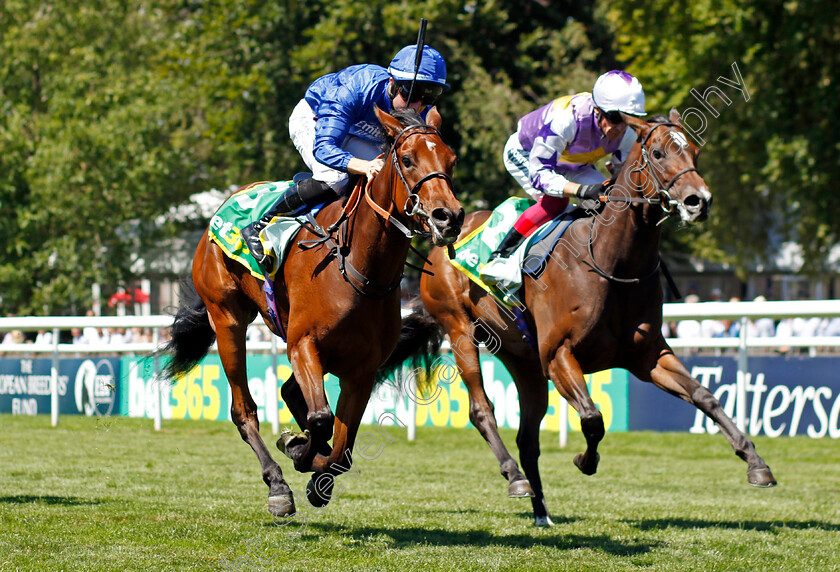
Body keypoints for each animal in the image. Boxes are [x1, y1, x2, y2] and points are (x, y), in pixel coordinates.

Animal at [158, 107, 460, 520]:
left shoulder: (362, 369)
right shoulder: (302, 344)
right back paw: (277, 485)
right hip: (227, 319)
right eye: (409, 159)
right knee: (244, 409)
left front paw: (312, 466)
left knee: (291, 394)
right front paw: (299, 453)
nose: (449, 216)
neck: (357, 268)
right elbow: (321, 420)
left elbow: (341, 447)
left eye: (451, 159)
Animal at [392, 109, 776, 524]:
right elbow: (592, 417)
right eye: (658, 153)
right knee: (483, 410)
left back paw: (541, 511)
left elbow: (706, 396)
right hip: (461, 329)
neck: (613, 261)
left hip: (524, 361)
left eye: (695, 151)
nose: (698, 201)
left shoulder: (648, 355)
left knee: (527, 437)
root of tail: (439, 240)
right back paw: (515, 478)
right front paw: (584, 460)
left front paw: (757, 464)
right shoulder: (559, 354)